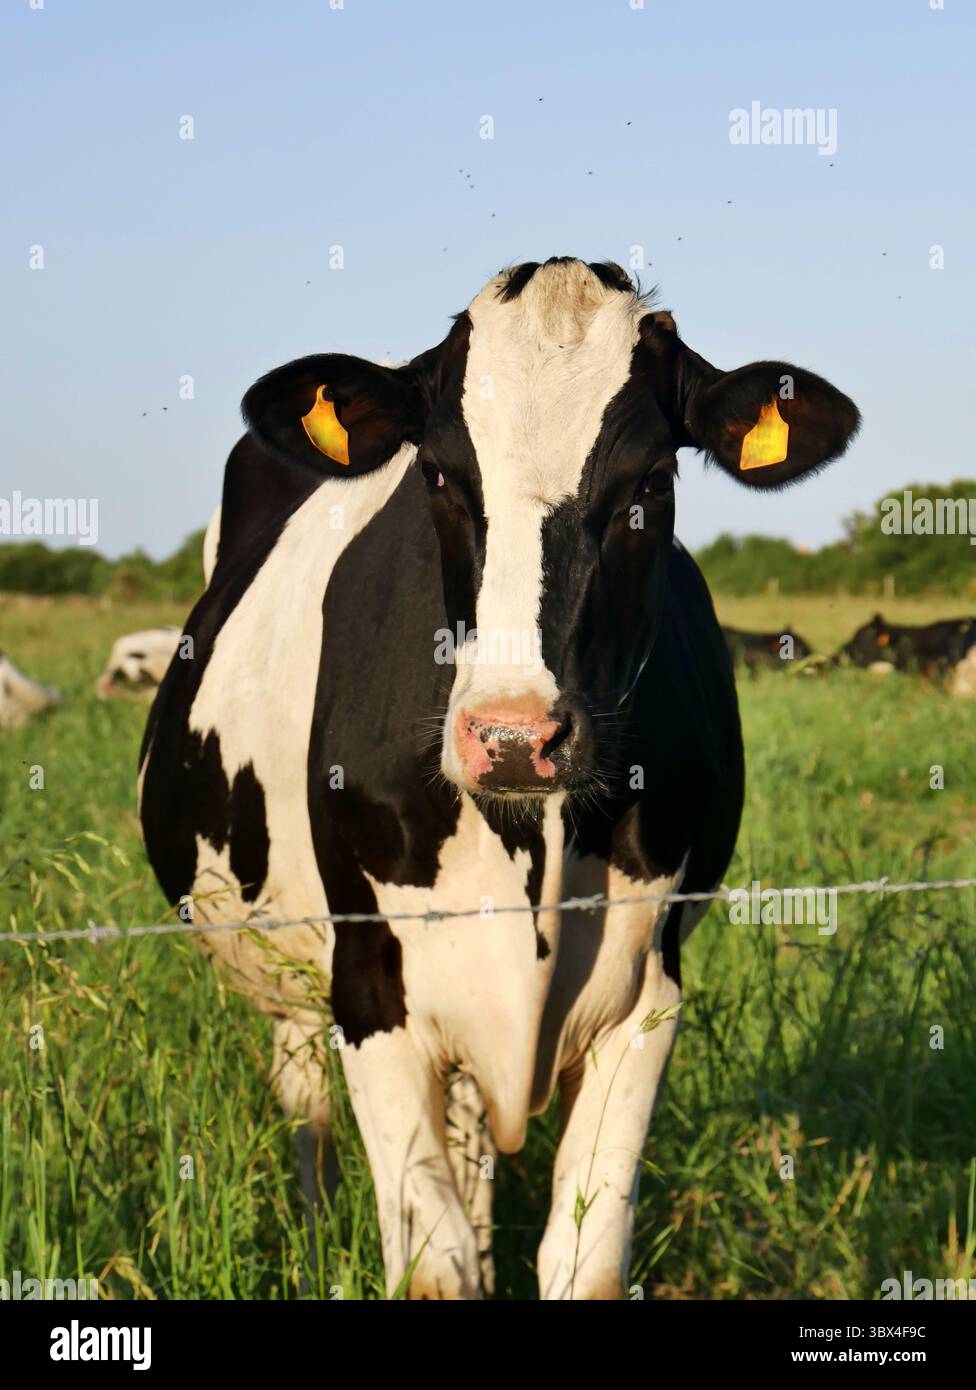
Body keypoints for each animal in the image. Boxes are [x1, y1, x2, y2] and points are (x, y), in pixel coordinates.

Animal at [139, 257, 860, 1299]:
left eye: (653, 481)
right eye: (437, 473)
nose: (516, 737)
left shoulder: (649, 994)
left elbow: (583, 1260)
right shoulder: (370, 988)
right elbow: (433, 1265)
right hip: (293, 975)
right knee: (307, 1109)